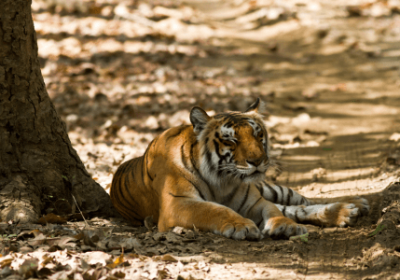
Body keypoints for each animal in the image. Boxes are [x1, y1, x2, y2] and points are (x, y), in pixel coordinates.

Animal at [111, 98, 370, 238]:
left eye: (258, 135)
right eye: (232, 141)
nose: (258, 160)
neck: (222, 180)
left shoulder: (255, 201)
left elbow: (275, 211)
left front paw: (286, 227)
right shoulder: (177, 204)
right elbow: (214, 210)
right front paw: (240, 226)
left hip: (268, 188)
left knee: (300, 201)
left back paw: (352, 205)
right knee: (295, 207)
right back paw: (348, 210)